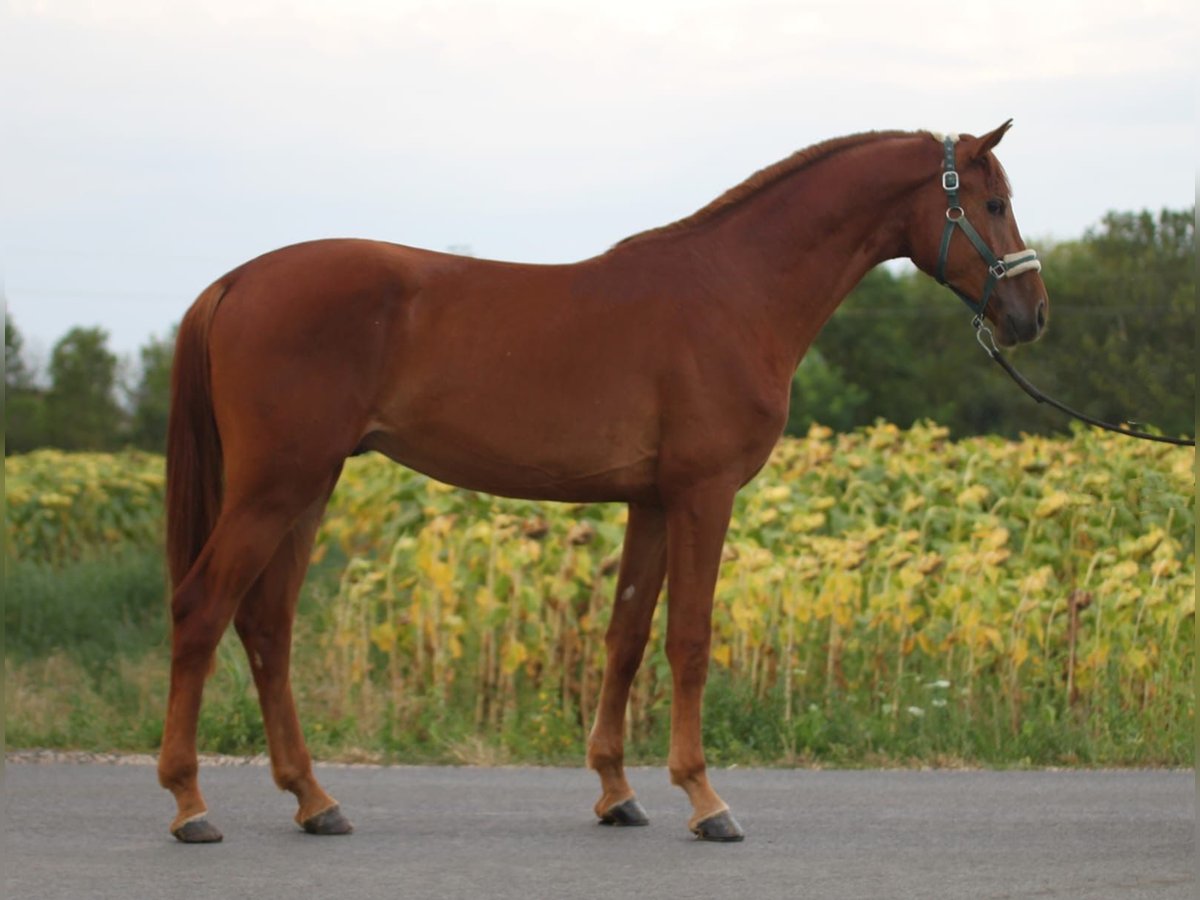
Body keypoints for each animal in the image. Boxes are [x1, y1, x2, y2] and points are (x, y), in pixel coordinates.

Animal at [162, 121, 1051, 844]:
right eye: (994, 201)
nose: (1032, 316)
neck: (735, 290)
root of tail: (235, 282)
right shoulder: (703, 496)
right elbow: (688, 639)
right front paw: (706, 801)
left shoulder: (651, 503)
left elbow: (625, 637)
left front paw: (618, 793)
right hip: (274, 489)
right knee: (203, 609)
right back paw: (191, 804)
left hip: (307, 491)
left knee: (267, 626)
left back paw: (314, 801)